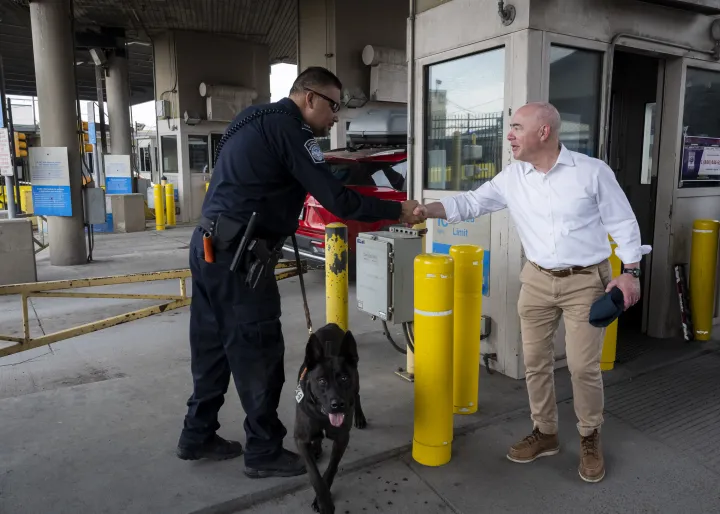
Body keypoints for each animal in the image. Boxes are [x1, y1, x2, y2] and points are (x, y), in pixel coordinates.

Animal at [294, 322, 366, 510]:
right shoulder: (300, 440)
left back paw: (360, 417)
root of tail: (331, 325)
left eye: (344, 378)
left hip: (356, 384)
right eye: (321, 381)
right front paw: (324, 501)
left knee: (357, 396)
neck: (322, 416)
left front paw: (324, 501)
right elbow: (314, 476)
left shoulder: (342, 438)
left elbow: (331, 468)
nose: (338, 404)